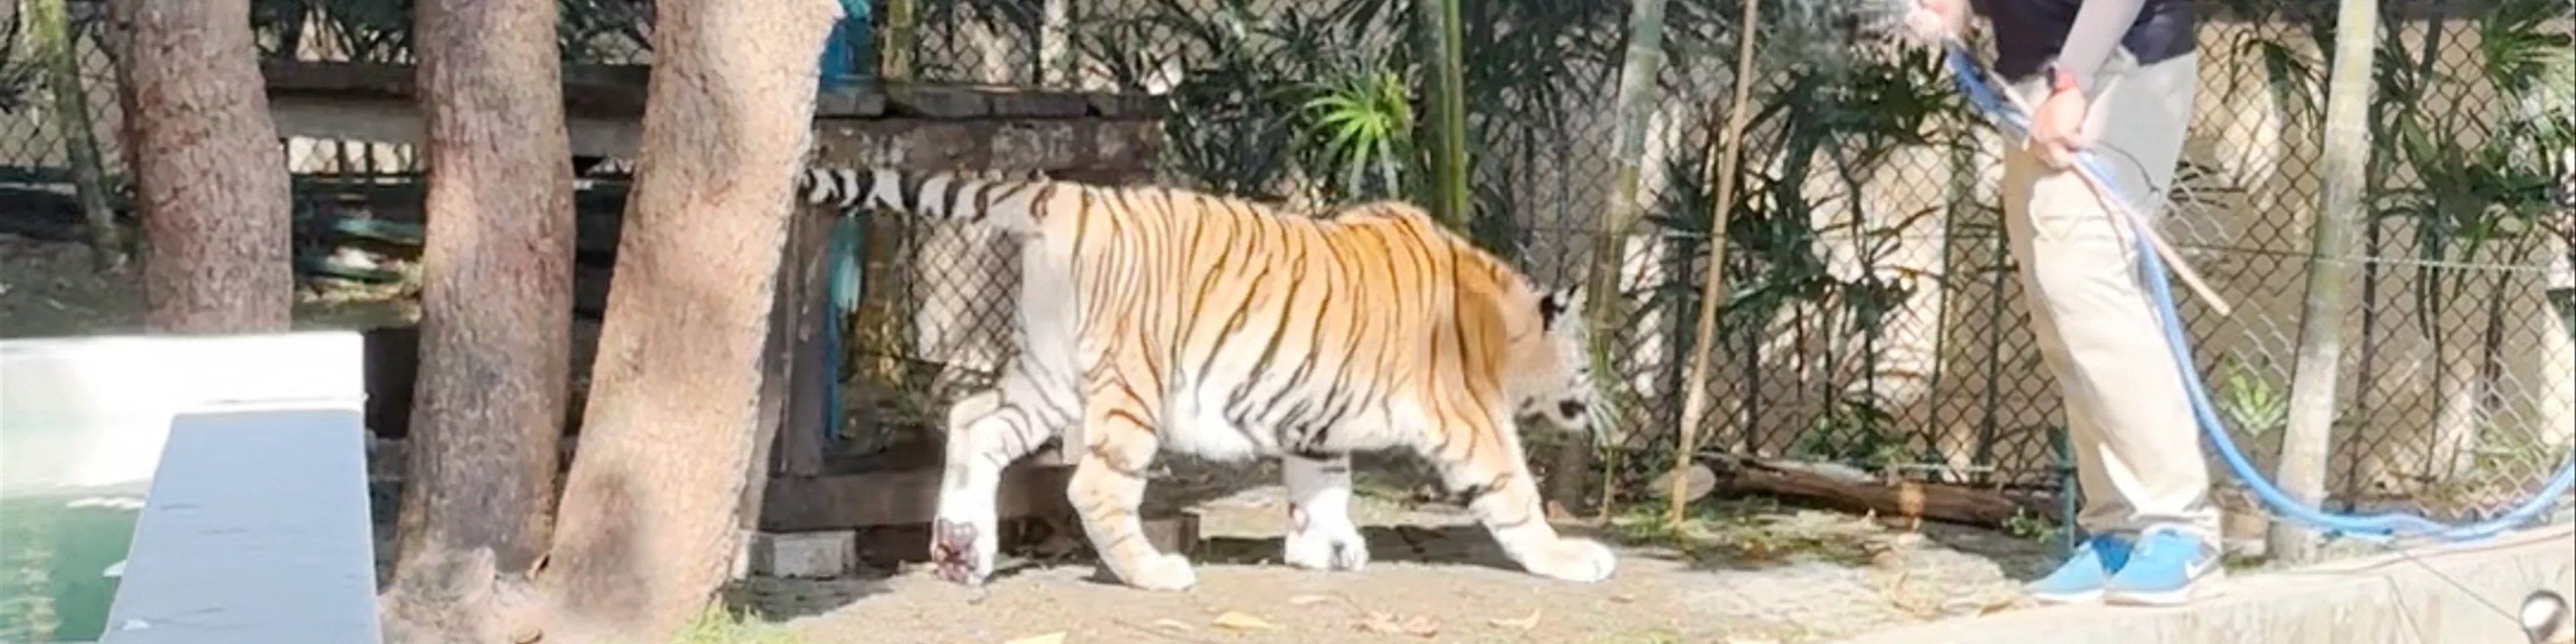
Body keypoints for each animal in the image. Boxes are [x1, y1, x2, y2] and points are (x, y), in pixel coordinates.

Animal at [797, 166, 1614, 591]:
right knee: (1093, 487)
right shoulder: (1472, 419)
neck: (1500, 318)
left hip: (1048, 375)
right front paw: (1571, 558)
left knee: (973, 421)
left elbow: (1323, 487)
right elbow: (1515, 492)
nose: (1599, 401)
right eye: (1587, 361)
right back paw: (1155, 572)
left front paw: (1325, 551)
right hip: (1131, 388)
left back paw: (962, 553)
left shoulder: (1316, 422)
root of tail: (1068, 195)